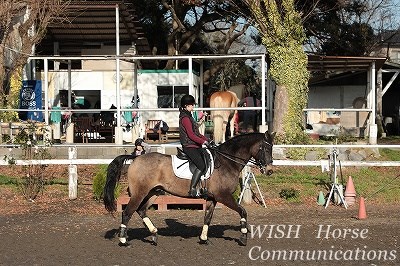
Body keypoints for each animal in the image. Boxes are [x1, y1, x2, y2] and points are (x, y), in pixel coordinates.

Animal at [102, 132, 276, 246]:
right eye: (266, 149)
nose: (269, 171)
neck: (227, 162)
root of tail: (136, 158)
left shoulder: (212, 198)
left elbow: (207, 217)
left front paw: (204, 239)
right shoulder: (223, 196)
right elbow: (243, 211)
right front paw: (243, 237)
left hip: (153, 192)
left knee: (141, 210)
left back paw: (154, 234)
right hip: (140, 193)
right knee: (127, 212)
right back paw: (124, 240)